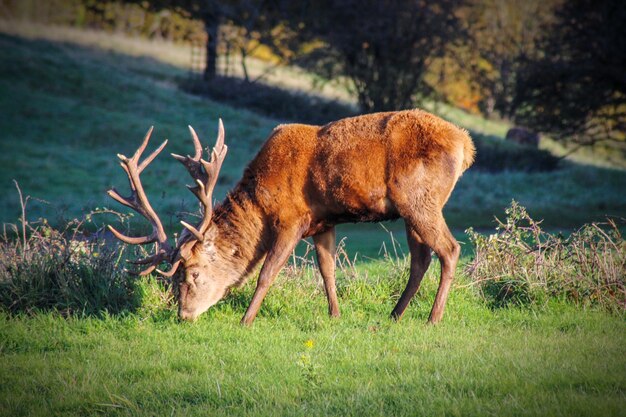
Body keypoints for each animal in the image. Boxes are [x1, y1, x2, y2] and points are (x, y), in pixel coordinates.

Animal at [108, 110, 472, 324]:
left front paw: (246, 320)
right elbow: (327, 270)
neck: (261, 200)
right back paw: (395, 314)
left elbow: (266, 273)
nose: (184, 315)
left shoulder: (291, 219)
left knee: (450, 249)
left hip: (419, 199)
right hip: (414, 208)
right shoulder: (324, 222)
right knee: (422, 258)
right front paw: (335, 315)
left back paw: (433, 318)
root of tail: (465, 145)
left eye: (193, 274)